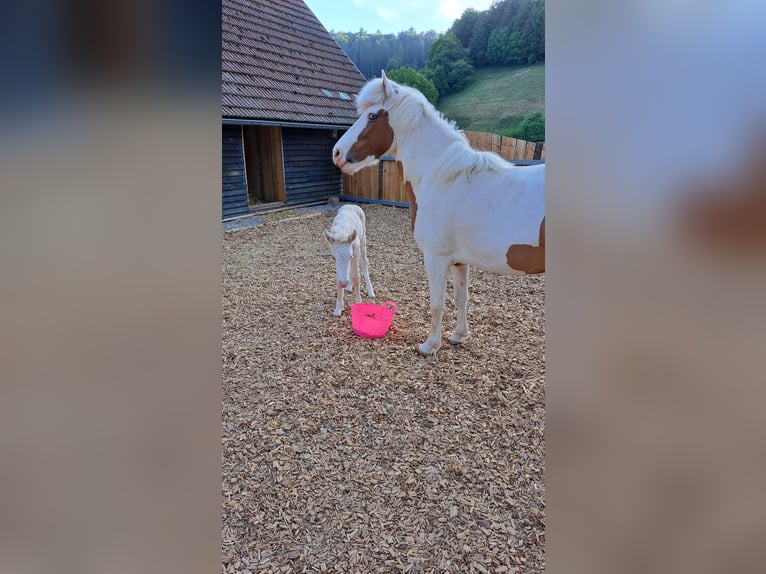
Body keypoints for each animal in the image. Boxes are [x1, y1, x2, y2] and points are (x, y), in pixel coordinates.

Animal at [332, 71, 545, 355]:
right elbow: (461, 298)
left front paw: (430, 345)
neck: (444, 179)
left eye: (373, 116)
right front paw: (459, 336)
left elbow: (437, 304)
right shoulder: (459, 261)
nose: (337, 153)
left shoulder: (436, 258)